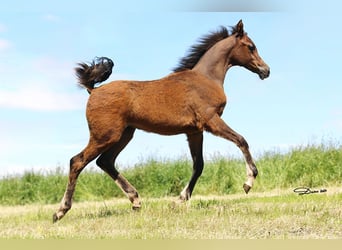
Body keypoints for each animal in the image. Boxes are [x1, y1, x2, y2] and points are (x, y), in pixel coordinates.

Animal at [52, 20, 270, 222]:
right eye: (251, 46)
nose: (266, 70)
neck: (206, 78)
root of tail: (94, 90)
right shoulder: (211, 121)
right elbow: (241, 140)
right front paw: (248, 182)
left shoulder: (194, 131)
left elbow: (198, 165)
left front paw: (179, 200)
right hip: (105, 136)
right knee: (77, 161)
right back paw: (60, 211)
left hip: (124, 134)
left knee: (105, 162)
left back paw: (135, 200)